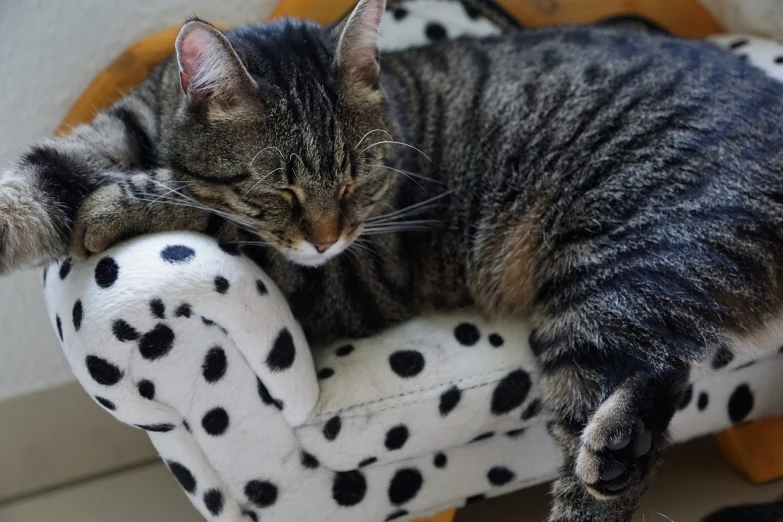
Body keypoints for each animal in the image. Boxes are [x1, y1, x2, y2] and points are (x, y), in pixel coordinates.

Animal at [1, 2, 783, 516]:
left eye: (358, 177)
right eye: (279, 187)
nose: (325, 235)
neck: (161, 138)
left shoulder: (359, 274)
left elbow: (213, 215)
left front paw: (115, 207)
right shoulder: (103, 138)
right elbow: (33, 183)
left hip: (614, 264)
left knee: (606, 439)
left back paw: (609, 459)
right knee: (658, 372)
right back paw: (621, 446)